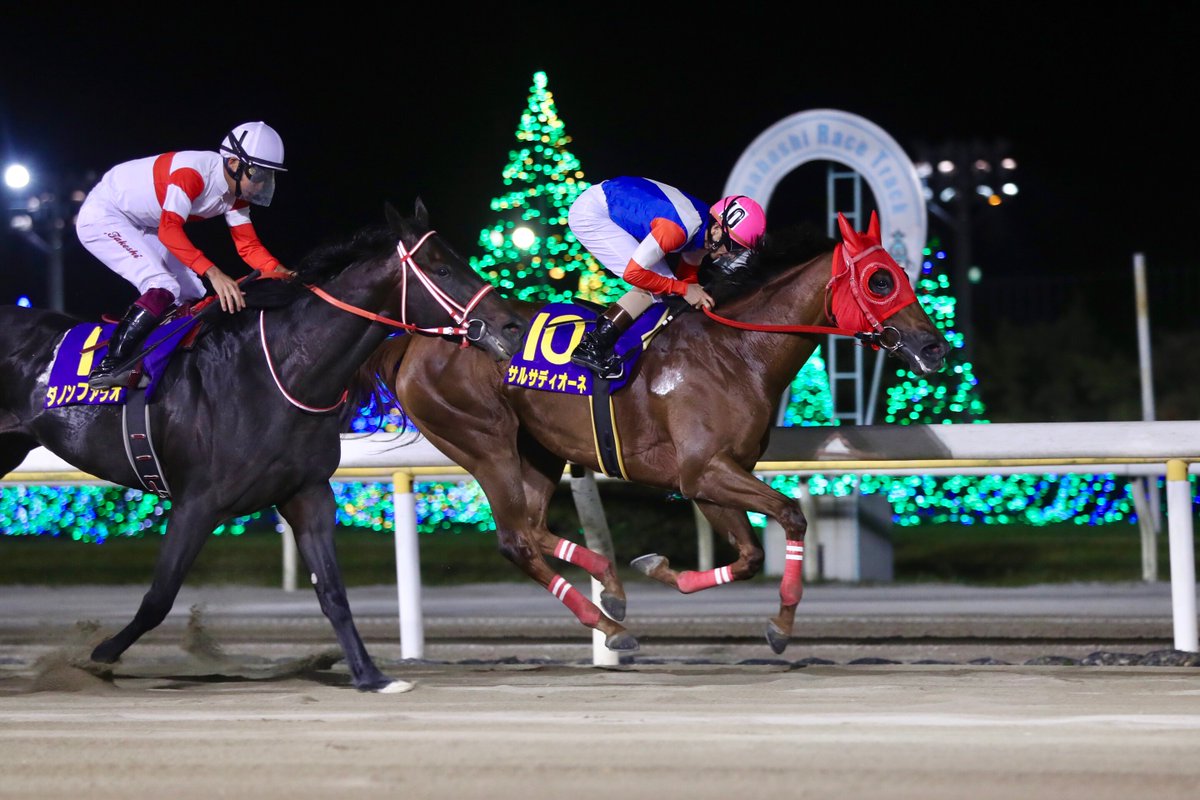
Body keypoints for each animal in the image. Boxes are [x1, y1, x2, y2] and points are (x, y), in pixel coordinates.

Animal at [0, 199, 528, 692]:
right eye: (441, 269)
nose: (511, 327)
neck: (275, 372)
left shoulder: (307, 493)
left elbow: (332, 592)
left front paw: (372, 675)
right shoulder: (196, 502)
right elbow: (158, 598)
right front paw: (96, 656)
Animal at [367, 211, 949, 654]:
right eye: (880, 280)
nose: (935, 348)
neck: (739, 353)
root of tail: (414, 340)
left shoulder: (711, 477)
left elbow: (748, 557)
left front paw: (659, 568)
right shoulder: (704, 470)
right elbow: (791, 515)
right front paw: (782, 625)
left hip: (538, 450)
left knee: (532, 528)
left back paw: (612, 588)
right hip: (484, 445)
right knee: (515, 540)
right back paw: (609, 626)